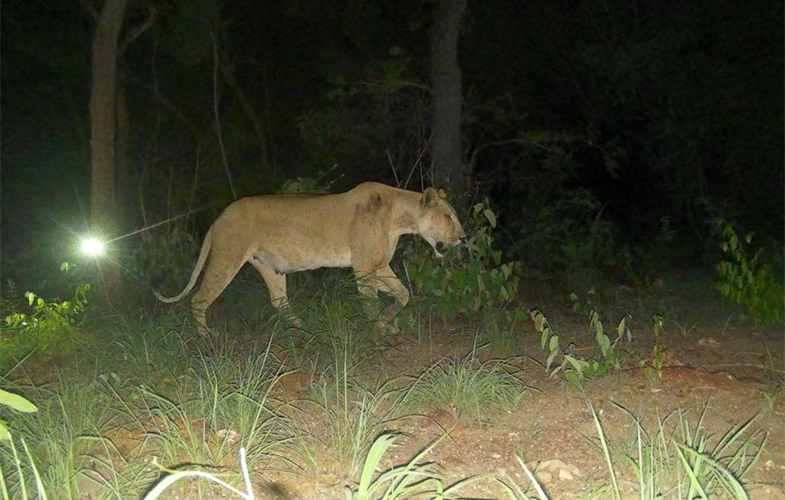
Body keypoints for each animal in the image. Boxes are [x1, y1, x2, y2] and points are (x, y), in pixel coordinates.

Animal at [154, 182, 466, 335]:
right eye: (448, 217)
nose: (463, 238)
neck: (400, 219)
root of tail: (219, 217)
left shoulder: (379, 265)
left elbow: (402, 293)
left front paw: (390, 321)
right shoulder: (364, 267)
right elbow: (371, 301)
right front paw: (379, 328)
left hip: (269, 268)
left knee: (279, 302)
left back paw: (306, 329)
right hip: (226, 259)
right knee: (198, 299)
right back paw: (205, 337)